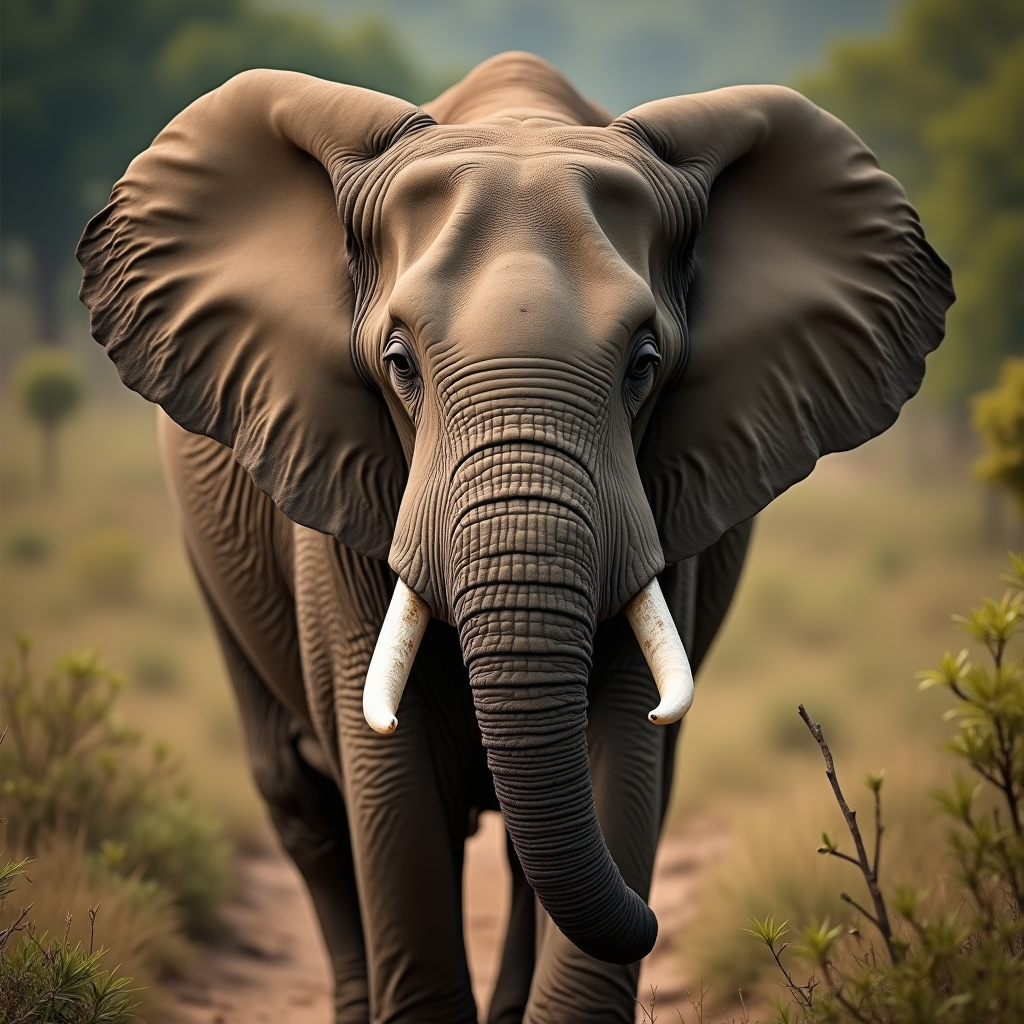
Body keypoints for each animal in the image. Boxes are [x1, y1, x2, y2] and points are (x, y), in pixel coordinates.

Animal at [77, 51, 952, 1024]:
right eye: (399, 365)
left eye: (645, 366)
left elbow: (624, 748)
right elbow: (391, 783)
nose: (657, 919)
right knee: (301, 800)